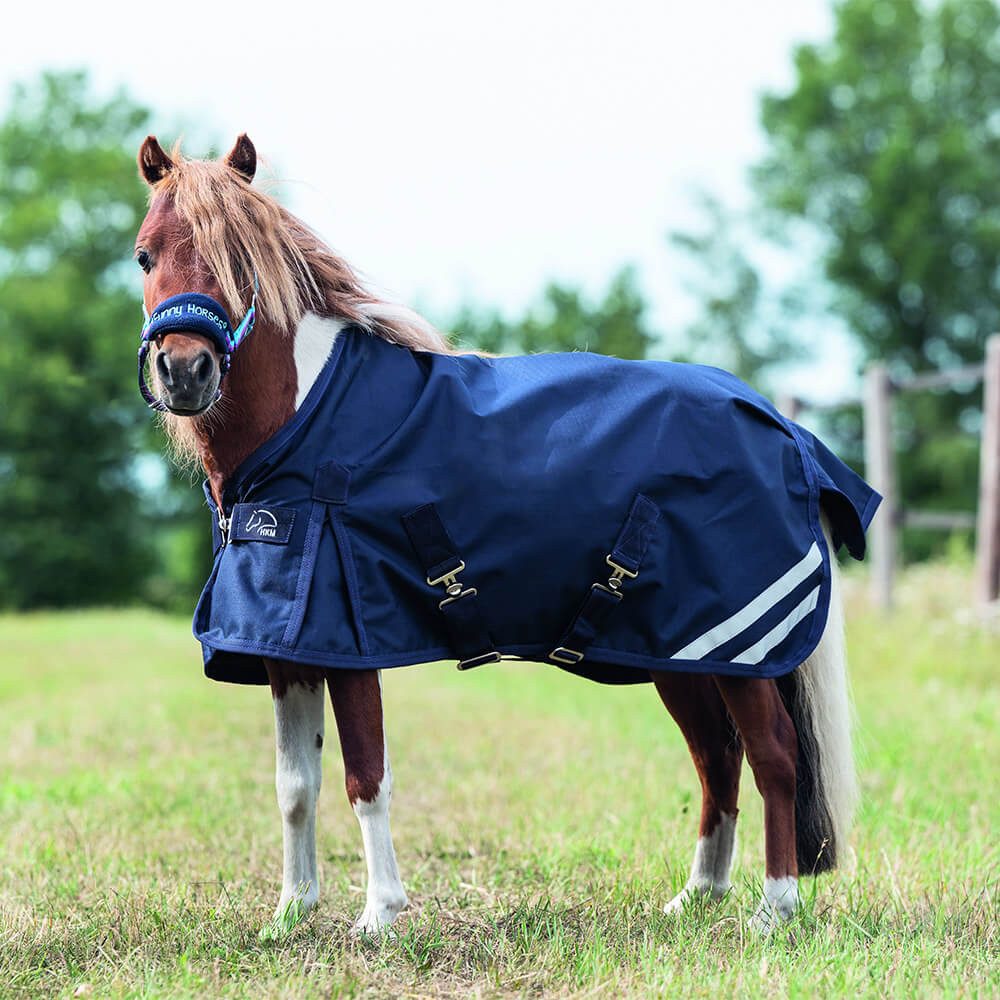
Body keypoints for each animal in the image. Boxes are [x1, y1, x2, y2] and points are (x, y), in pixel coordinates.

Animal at [133, 133, 860, 937]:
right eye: (144, 255)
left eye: (240, 265)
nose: (185, 371)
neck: (303, 426)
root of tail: (788, 432)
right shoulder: (287, 649)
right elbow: (295, 784)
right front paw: (291, 913)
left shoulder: (348, 644)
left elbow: (365, 777)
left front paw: (380, 915)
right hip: (684, 653)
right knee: (716, 758)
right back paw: (696, 896)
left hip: (744, 654)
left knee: (773, 758)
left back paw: (774, 910)